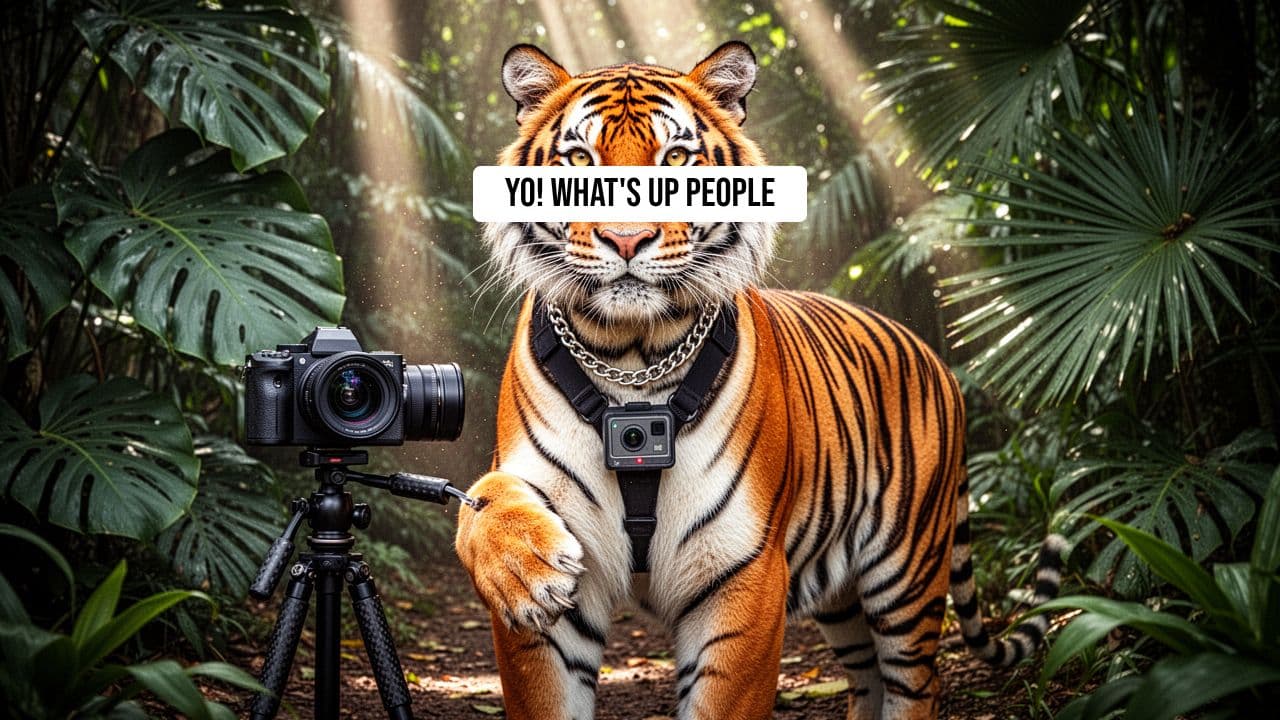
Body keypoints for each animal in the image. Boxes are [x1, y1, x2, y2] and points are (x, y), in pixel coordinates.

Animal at [454, 41, 1066, 720]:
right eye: (580, 160)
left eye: (675, 158)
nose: (626, 238)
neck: (633, 355)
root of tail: (934, 355)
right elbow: (478, 500)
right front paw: (526, 568)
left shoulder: (743, 575)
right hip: (840, 595)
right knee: (865, 677)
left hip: (907, 575)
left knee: (915, 684)